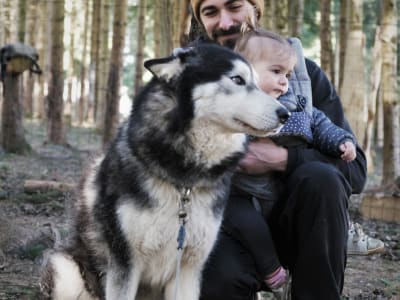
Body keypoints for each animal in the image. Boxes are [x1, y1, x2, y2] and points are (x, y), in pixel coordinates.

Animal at [40, 44, 290, 300]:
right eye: (237, 79)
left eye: (258, 83)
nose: (286, 114)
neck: (183, 181)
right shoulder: (124, 263)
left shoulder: (189, 268)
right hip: (65, 269)